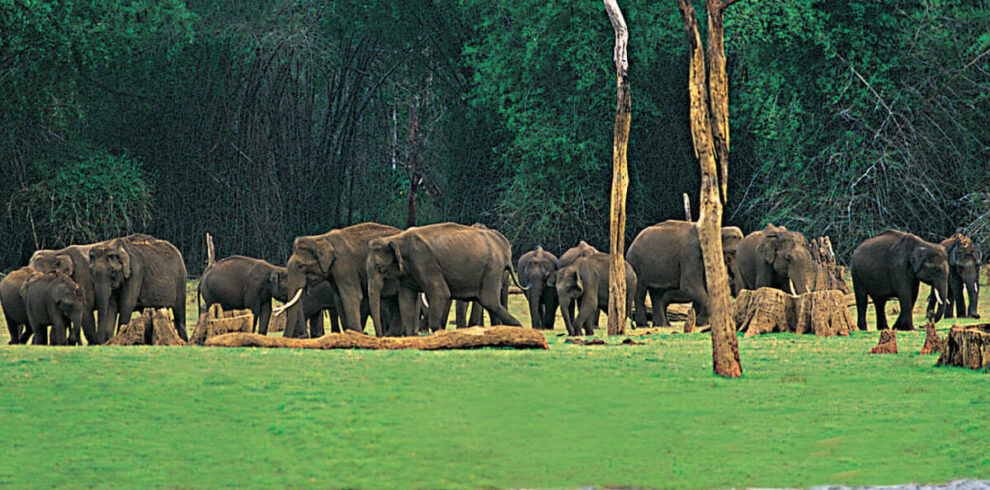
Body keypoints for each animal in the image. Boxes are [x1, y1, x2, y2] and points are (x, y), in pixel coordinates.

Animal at [366, 222, 523, 337]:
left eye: (379, 268)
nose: (381, 336)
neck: (396, 239)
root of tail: (504, 245)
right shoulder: (407, 273)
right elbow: (406, 299)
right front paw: (410, 336)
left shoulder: (425, 262)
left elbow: (441, 293)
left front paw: (440, 333)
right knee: (490, 303)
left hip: (492, 268)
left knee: (489, 301)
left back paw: (519, 329)